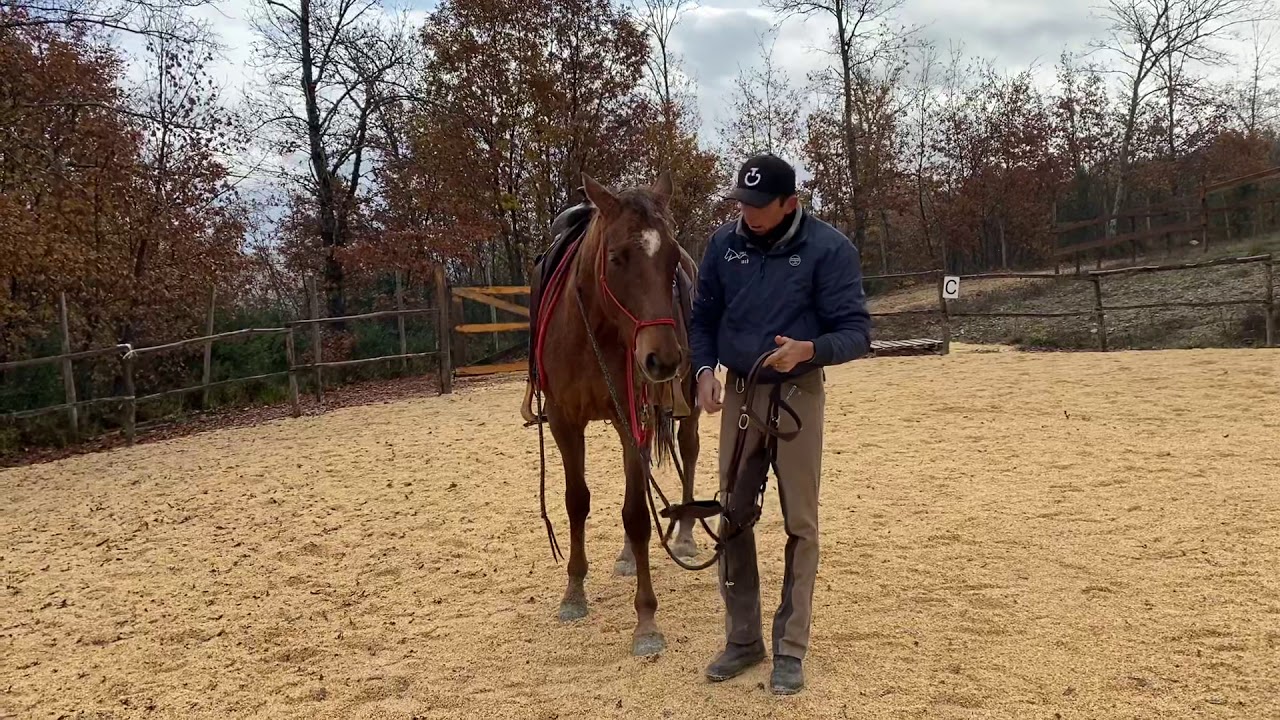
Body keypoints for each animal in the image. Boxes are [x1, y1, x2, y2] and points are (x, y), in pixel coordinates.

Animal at [520, 170, 703, 656]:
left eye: (671, 260)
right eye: (617, 257)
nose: (663, 359)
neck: (593, 330)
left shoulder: (632, 417)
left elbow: (638, 515)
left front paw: (646, 621)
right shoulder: (564, 420)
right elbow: (576, 502)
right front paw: (573, 593)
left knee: (689, 449)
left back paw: (685, 535)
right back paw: (625, 557)